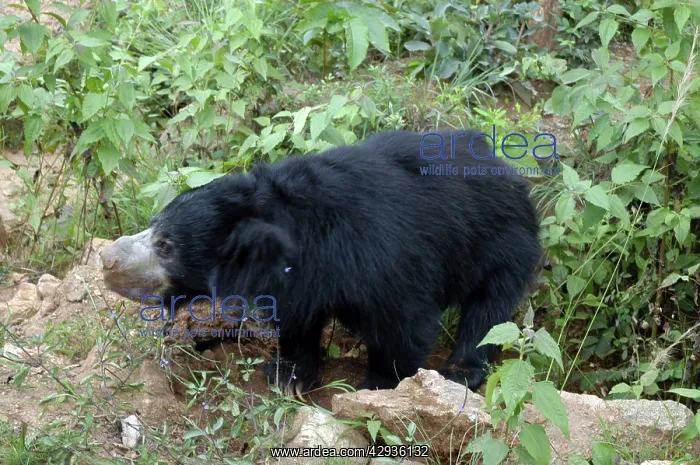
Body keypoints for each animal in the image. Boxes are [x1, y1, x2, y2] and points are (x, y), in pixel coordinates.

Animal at [100, 129, 543, 396]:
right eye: (152, 226)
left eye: (167, 245)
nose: (107, 259)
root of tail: (513, 174)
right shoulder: (299, 280)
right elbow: (298, 321)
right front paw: (290, 376)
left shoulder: (381, 259)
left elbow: (404, 325)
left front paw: (379, 385)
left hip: (501, 243)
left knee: (487, 311)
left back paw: (461, 371)